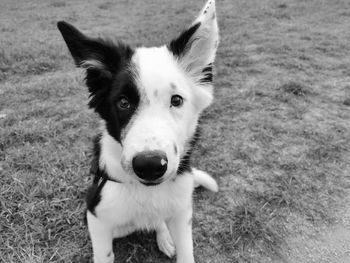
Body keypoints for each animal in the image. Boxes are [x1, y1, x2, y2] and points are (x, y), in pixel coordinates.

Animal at [58, 0, 219, 263]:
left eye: (176, 100)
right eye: (123, 103)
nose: (150, 165)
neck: (146, 191)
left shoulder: (182, 213)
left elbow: (186, 250)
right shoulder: (96, 215)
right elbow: (104, 254)